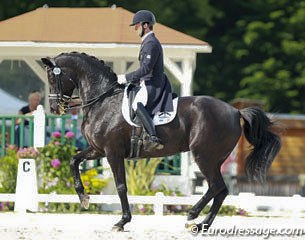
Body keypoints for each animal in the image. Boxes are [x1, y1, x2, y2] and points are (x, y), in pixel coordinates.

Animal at [41, 52, 282, 231]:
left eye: (52, 77)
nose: (54, 108)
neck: (103, 100)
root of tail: (235, 111)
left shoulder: (112, 152)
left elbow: (121, 186)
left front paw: (122, 221)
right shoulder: (97, 150)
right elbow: (74, 161)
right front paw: (83, 198)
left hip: (203, 156)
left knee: (216, 187)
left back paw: (192, 215)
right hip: (214, 159)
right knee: (220, 191)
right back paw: (201, 225)